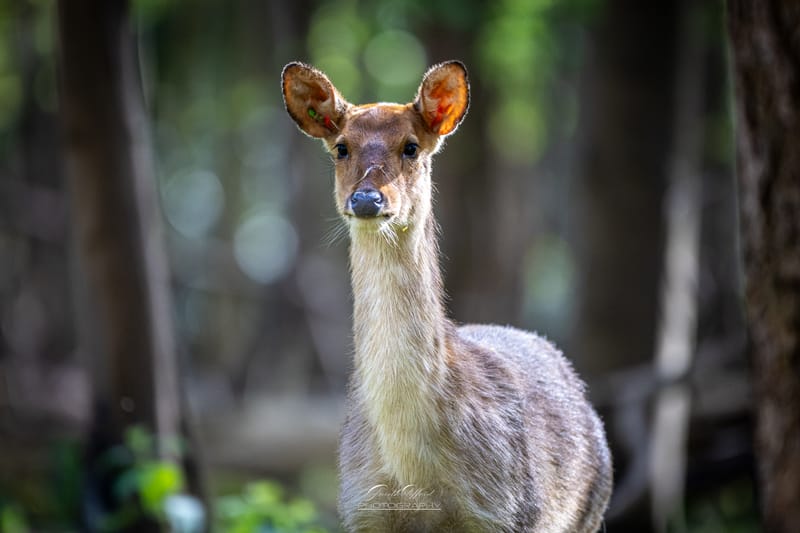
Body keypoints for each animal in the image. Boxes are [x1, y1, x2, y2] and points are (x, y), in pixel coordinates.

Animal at [282, 60, 612, 532]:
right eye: (341, 147)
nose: (366, 199)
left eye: (411, 147)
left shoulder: (509, 512)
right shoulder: (361, 507)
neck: (416, 475)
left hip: (590, 507)